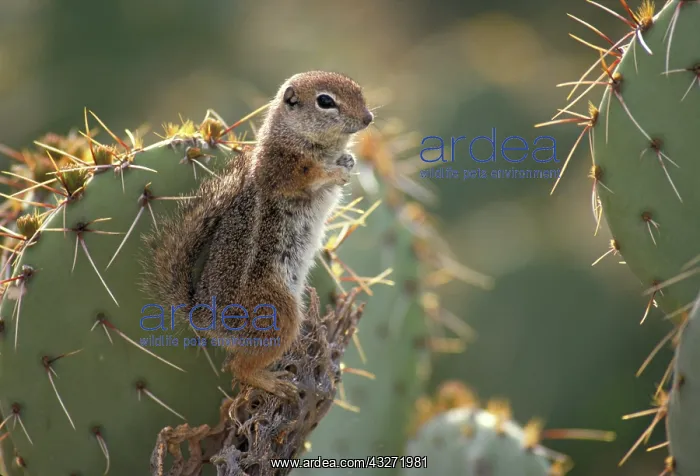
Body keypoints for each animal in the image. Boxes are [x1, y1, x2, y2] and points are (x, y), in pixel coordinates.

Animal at [141, 71, 374, 399]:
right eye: (325, 101)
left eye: (358, 90)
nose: (368, 118)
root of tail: (205, 318)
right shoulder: (281, 168)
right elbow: (309, 175)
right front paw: (333, 172)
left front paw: (349, 160)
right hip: (279, 314)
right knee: (238, 368)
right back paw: (271, 382)